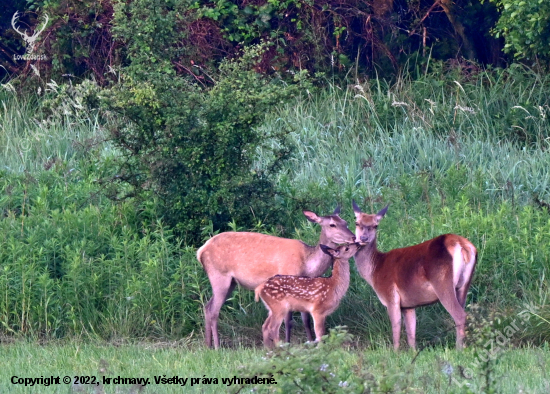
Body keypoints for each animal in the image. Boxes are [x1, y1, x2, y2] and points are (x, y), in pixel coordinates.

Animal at [198, 206, 358, 348]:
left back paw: (208, 345)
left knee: (207, 306)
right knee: (213, 310)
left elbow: (306, 319)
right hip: (219, 275)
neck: (308, 265)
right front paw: (288, 342)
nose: (353, 237)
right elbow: (289, 320)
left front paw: (310, 341)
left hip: (231, 282)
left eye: (345, 222)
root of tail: (200, 251)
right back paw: (217, 346)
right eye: (332, 224)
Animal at [354, 202, 478, 350]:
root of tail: (462, 246)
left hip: (443, 282)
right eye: (357, 223)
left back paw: (458, 349)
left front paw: (395, 352)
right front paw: (412, 352)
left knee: (460, 315)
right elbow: (411, 333)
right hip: (464, 284)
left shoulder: (391, 296)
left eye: (375, 225)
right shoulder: (408, 305)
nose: (363, 238)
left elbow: (396, 328)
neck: (375, 270)